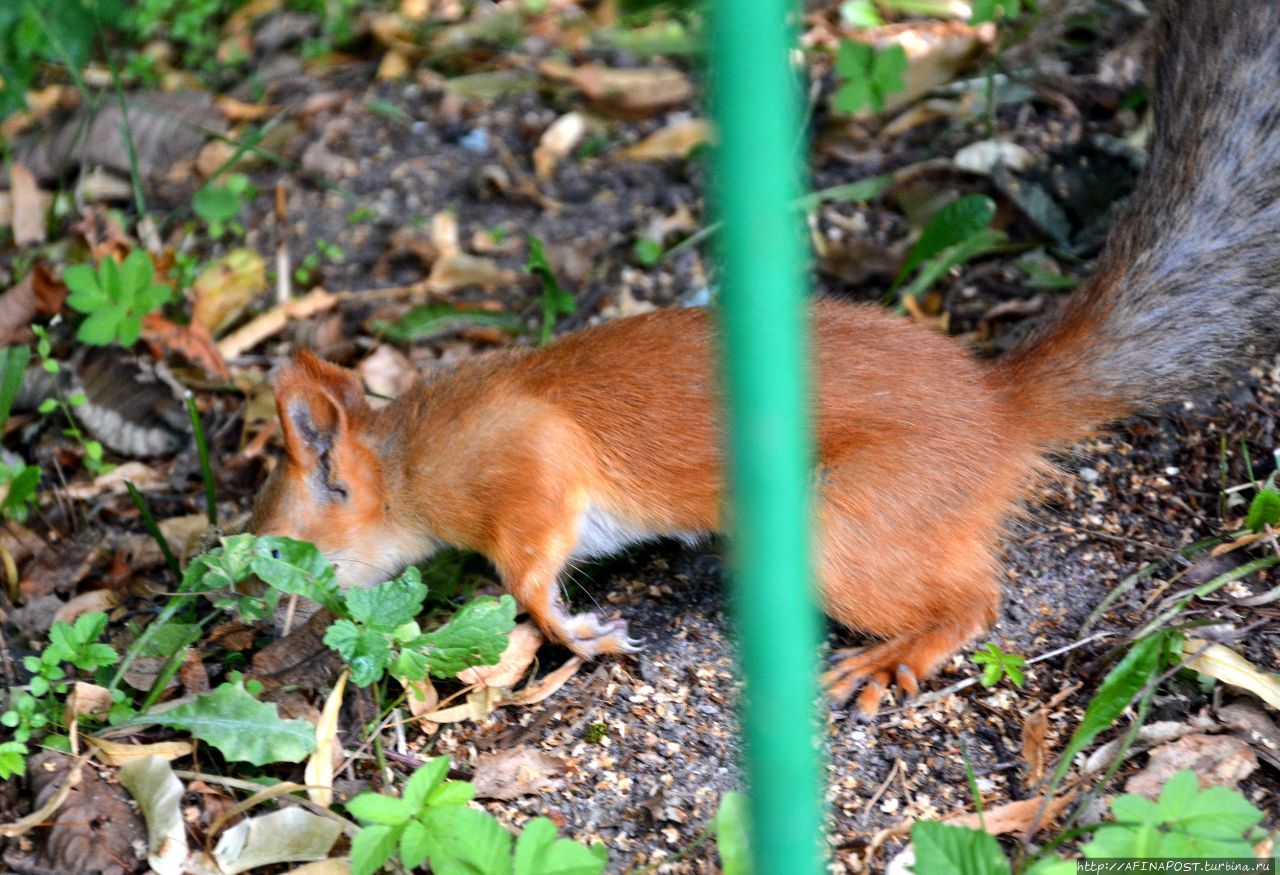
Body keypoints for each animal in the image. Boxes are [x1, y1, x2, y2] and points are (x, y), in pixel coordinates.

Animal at [249, 0, 1280, 711]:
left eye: (276, 544)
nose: (249, 632)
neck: (416, 453)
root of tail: (998, 406)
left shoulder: (525, 458)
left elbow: (527, 575)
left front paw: (577, 634)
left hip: (849, 524)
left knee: (974, 600)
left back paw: (893, 656)